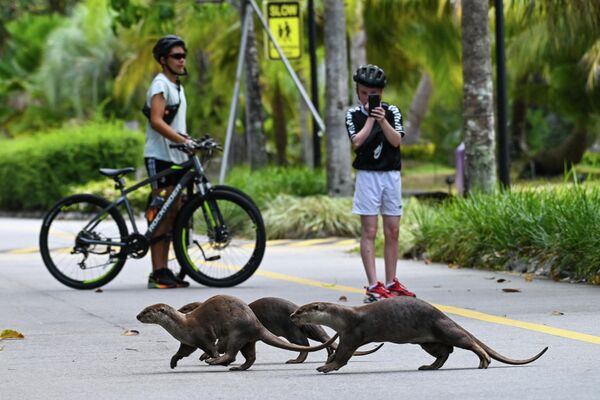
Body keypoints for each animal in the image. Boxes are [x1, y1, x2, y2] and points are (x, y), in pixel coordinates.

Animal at [138, 292, 340, 370]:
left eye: (147, 311)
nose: (138, 315)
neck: (183, 325)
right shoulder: (187, 342)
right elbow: (183, 352)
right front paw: (174, 361)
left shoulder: (204, 335)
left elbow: (212, 347)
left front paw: (209, 357)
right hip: (248, 340)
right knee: (250, 356)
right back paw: (238, 367)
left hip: (240, 332)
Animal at [179, 296, 384, 362]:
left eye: (185, 308)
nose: (179, 310)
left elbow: (220, 345)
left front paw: (205, 355)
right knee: (321, 340)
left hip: (290, 330)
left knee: (304, 344)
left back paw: (295, 360)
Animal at [290, 296, 548, 374]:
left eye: (301, 311)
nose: (292, 315)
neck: (344, 317)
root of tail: (444, 315)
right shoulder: (343, 334)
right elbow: (338, 353)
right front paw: (327, 363)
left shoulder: (352, 334)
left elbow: (344, 356)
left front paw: (327, 367)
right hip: (426, 341)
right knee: (444, 352)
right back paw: (428, 367)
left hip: (444, 329)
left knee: (466, 342)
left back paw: (483, 361)